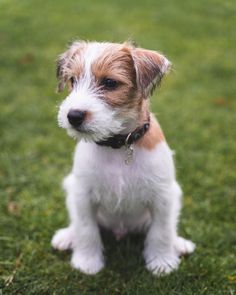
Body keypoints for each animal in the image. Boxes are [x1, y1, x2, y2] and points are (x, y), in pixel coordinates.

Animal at [50, 41, 195, 278]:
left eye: (110, 83)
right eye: (72, 80)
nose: (73, 116)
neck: (119, 146)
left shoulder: (163, 196)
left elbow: (162, 231)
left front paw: (162, 262)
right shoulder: (83, 194)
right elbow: (86, 229)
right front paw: (87, 262)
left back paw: (178, 243)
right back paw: (67, 236)